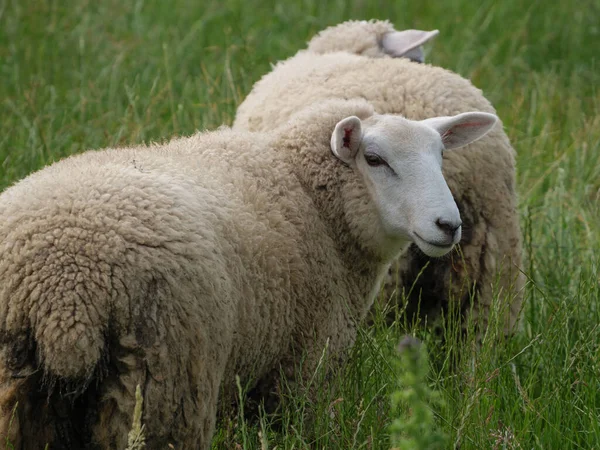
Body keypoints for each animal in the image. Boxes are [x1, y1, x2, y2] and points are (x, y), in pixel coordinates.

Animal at [0, 100, 496, 448]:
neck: (309, 195)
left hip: (21, 395)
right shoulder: (301, 367)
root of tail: (64, 294)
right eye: (374, 159)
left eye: (440, 155)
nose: (448, 225)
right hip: (167, 385)